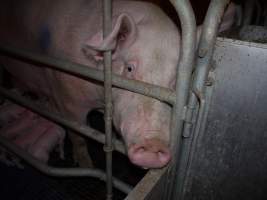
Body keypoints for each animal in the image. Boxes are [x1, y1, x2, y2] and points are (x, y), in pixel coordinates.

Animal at [0, 0, 234, 169]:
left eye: (176, 81)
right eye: (129, 68)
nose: (153, 145)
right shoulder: (67, 99)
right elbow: (78, 136)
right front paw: (87, 165)